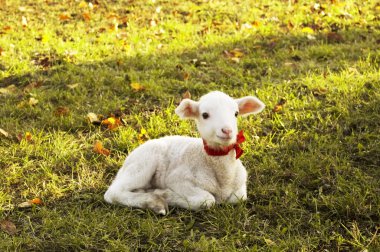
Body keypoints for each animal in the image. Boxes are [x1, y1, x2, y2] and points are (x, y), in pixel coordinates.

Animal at [103, 90, 264, 215]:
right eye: (205, 115)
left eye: (236, 113)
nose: (227, 131)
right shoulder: (178, 179)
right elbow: (207, 200)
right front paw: (164, 194)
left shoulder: (240, 185)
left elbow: (239, 198)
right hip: (143, 164)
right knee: (113, 193)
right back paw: (155, 202)